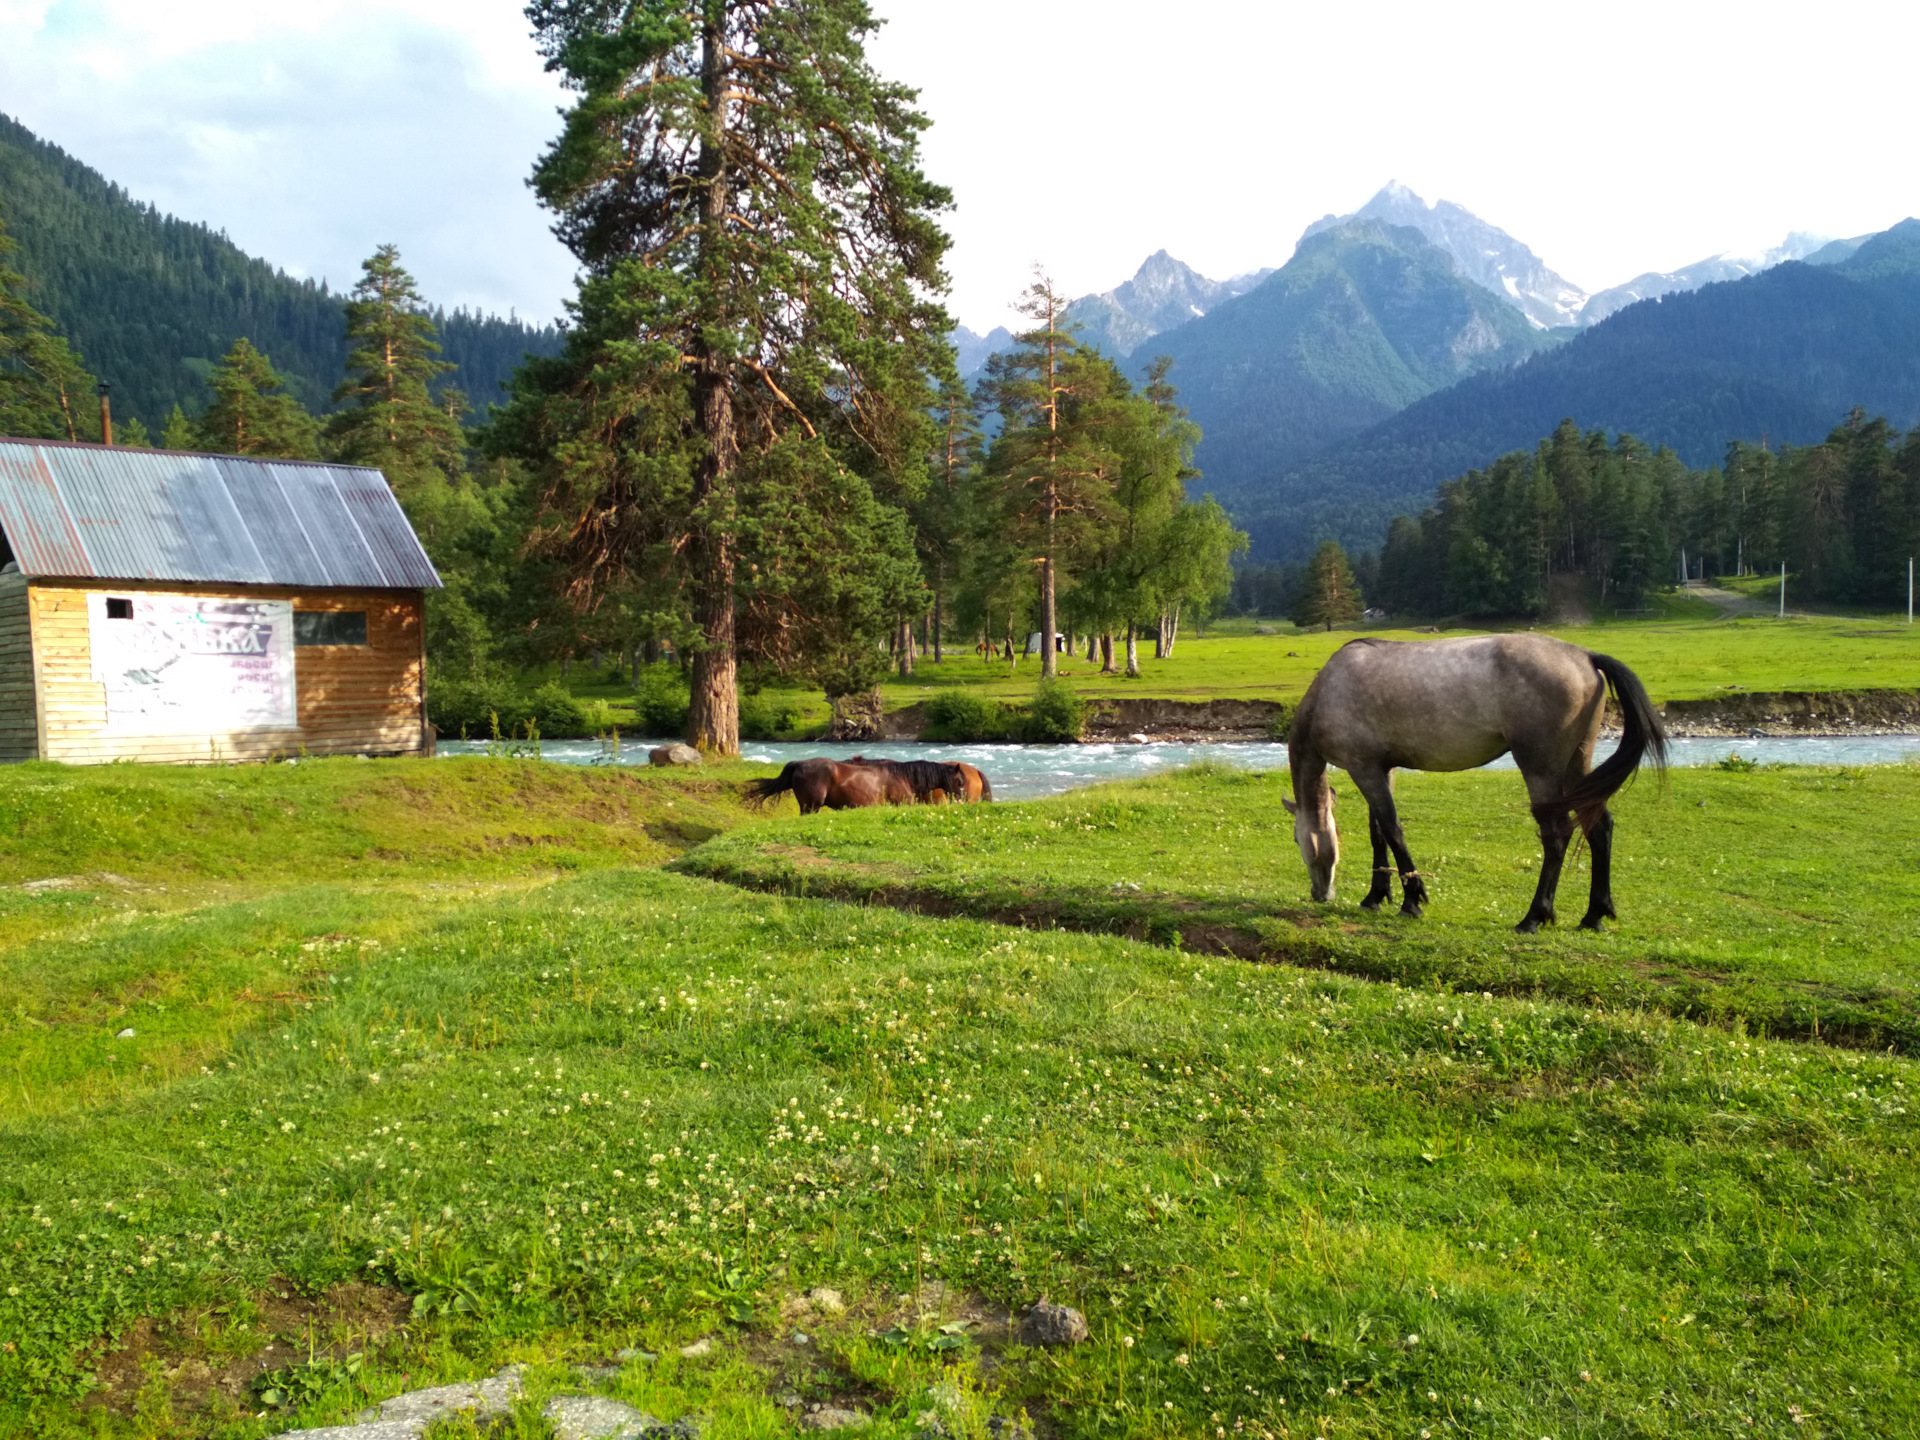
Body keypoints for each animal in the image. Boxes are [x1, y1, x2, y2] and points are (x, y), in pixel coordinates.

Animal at [1290, 633, 1666, 929]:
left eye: (1295, 840)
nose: (1319, 894)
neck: (1330, 690)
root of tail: (1586, 656)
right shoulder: (1382, 769)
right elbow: (1378, 832)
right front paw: (1375, 896)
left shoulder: (1363, 768)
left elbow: (1393, 830)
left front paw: (1412, 900)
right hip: (1578, 763)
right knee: (1598, 826)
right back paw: (1593, 915)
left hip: (1540, 769)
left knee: (1557, 835)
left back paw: (1534, 917)